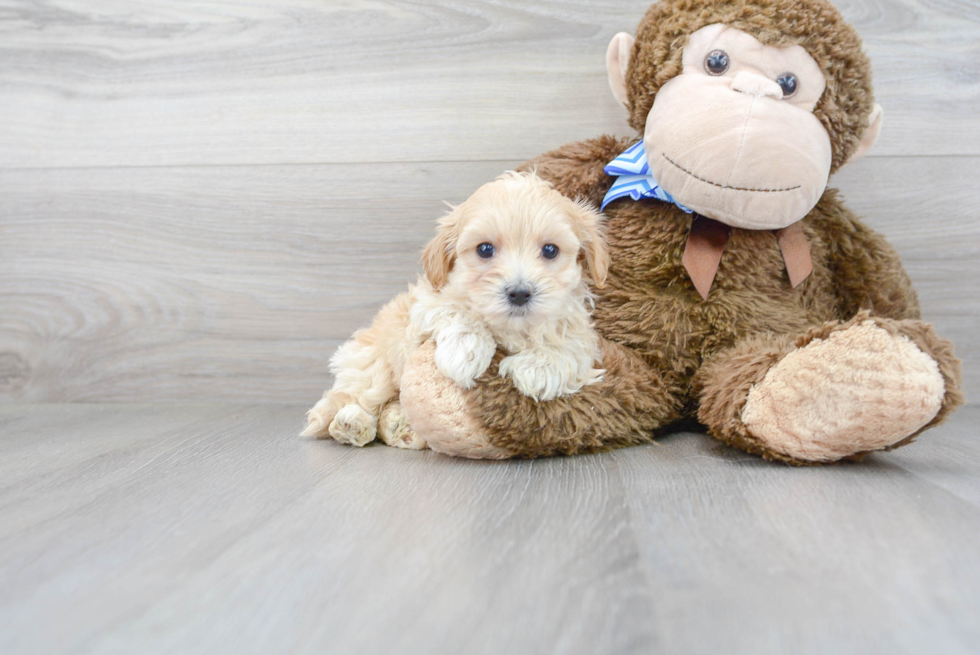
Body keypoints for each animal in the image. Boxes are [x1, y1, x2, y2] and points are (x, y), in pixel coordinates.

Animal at [300, 172, 604, 448]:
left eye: (550, 250)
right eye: (485, 249)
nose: (519, 293)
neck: (510, 328)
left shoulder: (577, 325)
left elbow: (573, 344)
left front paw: (537, 367)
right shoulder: (425, 304)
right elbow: (455, 310)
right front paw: (466, 351)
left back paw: (401, 426)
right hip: (373, 365)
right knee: (352, 399)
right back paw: (352, 423)